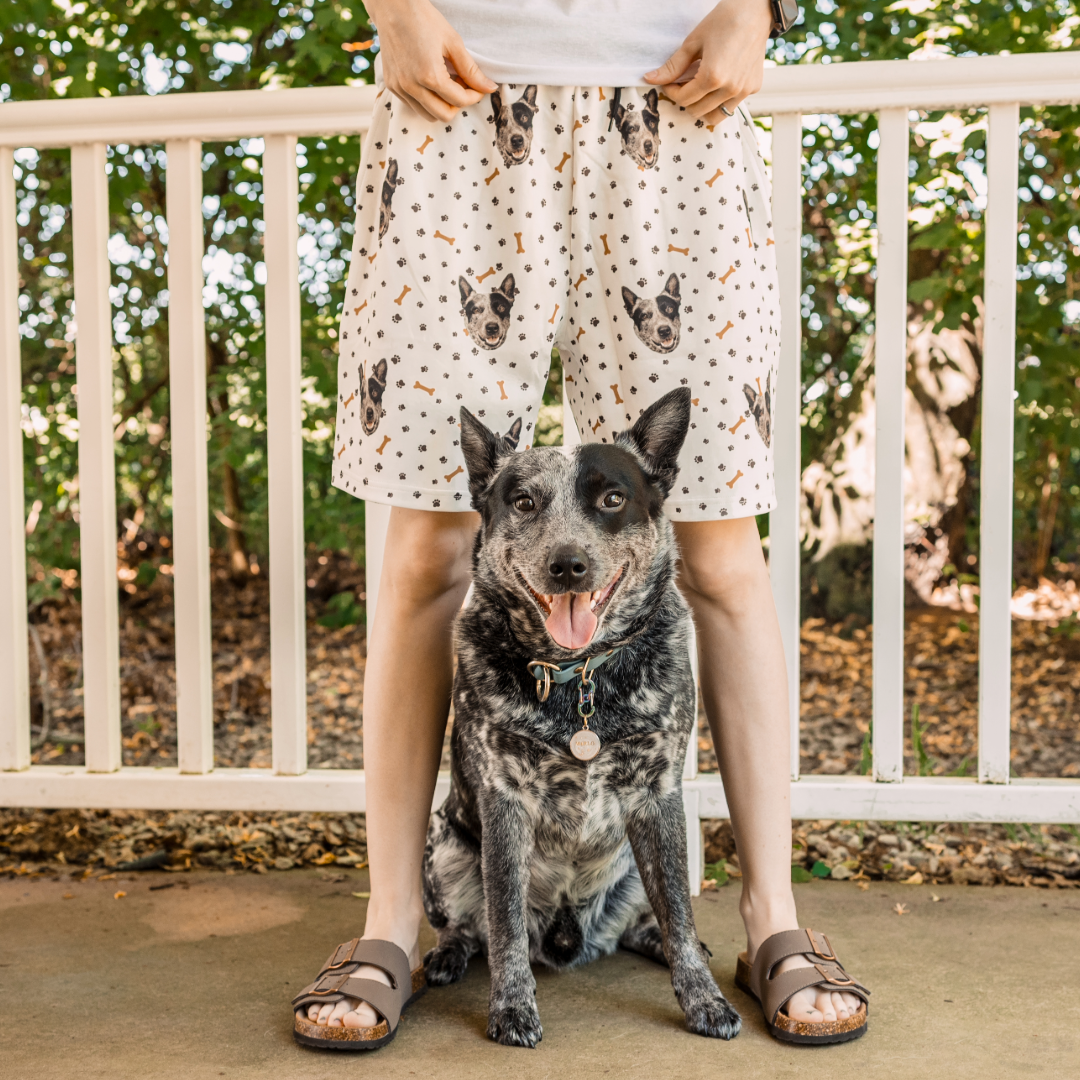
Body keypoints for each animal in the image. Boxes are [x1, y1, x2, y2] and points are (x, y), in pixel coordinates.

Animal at [416, 388, 738, 1045]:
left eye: (613, 499)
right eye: (523, 502)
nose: (569, 564)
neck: (580, 674)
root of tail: (569, 934)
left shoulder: (657, 795)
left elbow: (680, 913)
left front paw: (703, 998)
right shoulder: (504, 799)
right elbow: (505, 922)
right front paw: (512, 1007)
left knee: (656, 921)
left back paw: (663, 943)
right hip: (444, 843)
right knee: (468, 927)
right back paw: (448, 954)